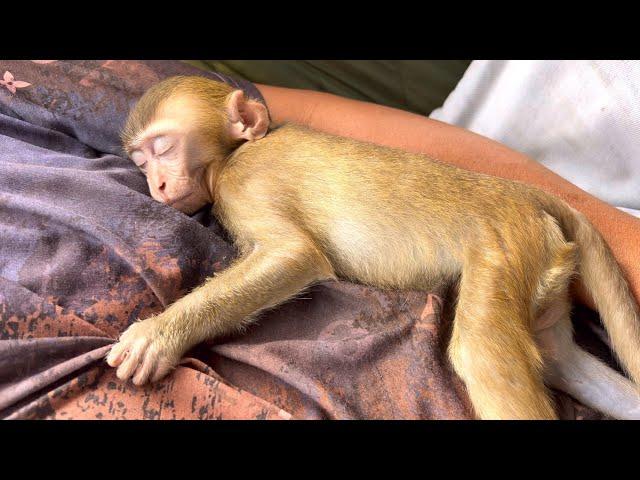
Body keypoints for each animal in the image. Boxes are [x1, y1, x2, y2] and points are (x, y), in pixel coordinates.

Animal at [107, 76, 640, 420]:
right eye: (140, 162)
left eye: (162, 148)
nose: (154, 184)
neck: (235, 153)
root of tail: (527, 194)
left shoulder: (244, 183)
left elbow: (295, 255)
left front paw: (158, 334)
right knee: (557, 357)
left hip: (504, 244)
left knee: (482, 353)